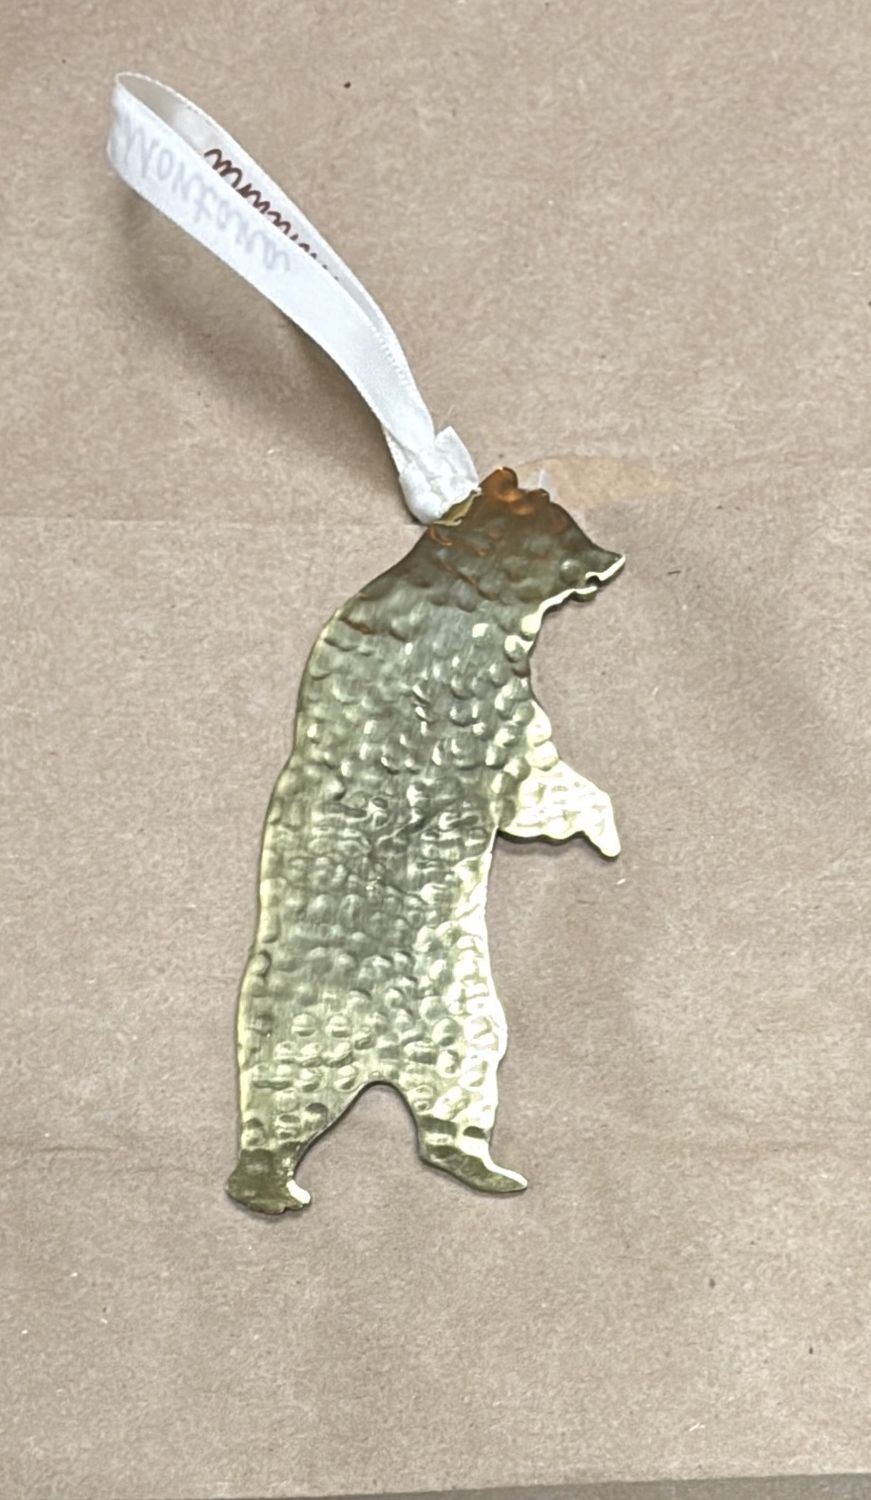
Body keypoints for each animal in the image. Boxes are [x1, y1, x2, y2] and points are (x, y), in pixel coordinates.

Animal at [226, 467, 624, 1213]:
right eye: (566, 528)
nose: (611, 559)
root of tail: (375, 1054)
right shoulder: (490, 707)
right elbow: (537, 785)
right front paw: (600, 821)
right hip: (366, 1018)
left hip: (438, 1018)